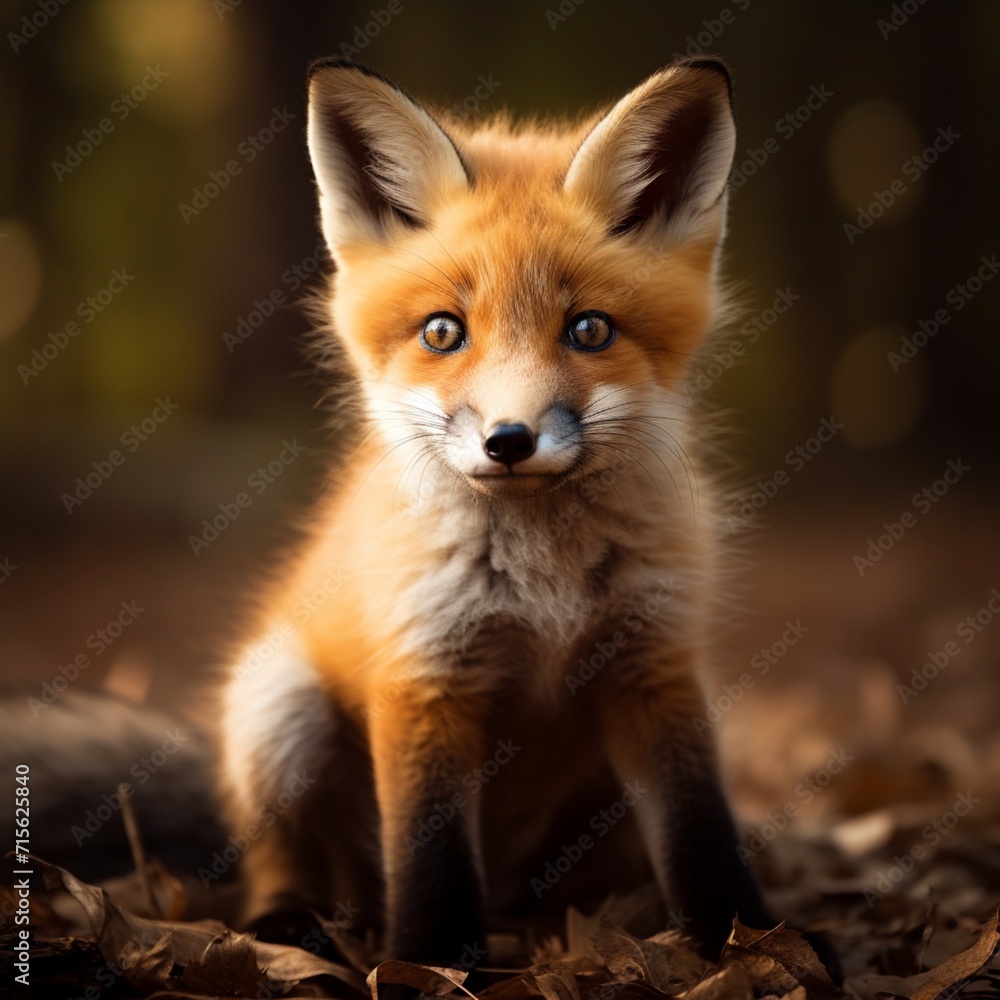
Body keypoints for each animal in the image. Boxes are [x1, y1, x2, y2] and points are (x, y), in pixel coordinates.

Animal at [218, 56, 776, 966]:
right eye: (444, 332)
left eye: (589, 330)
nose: (509, 441)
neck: (542, 586)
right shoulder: (425, 674)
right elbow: (430, 858)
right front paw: (430, 962)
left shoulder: (652, 664)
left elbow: (703, 836)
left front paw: (750, 941)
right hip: (278, 710)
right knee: (281, 857)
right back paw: (287, 923)